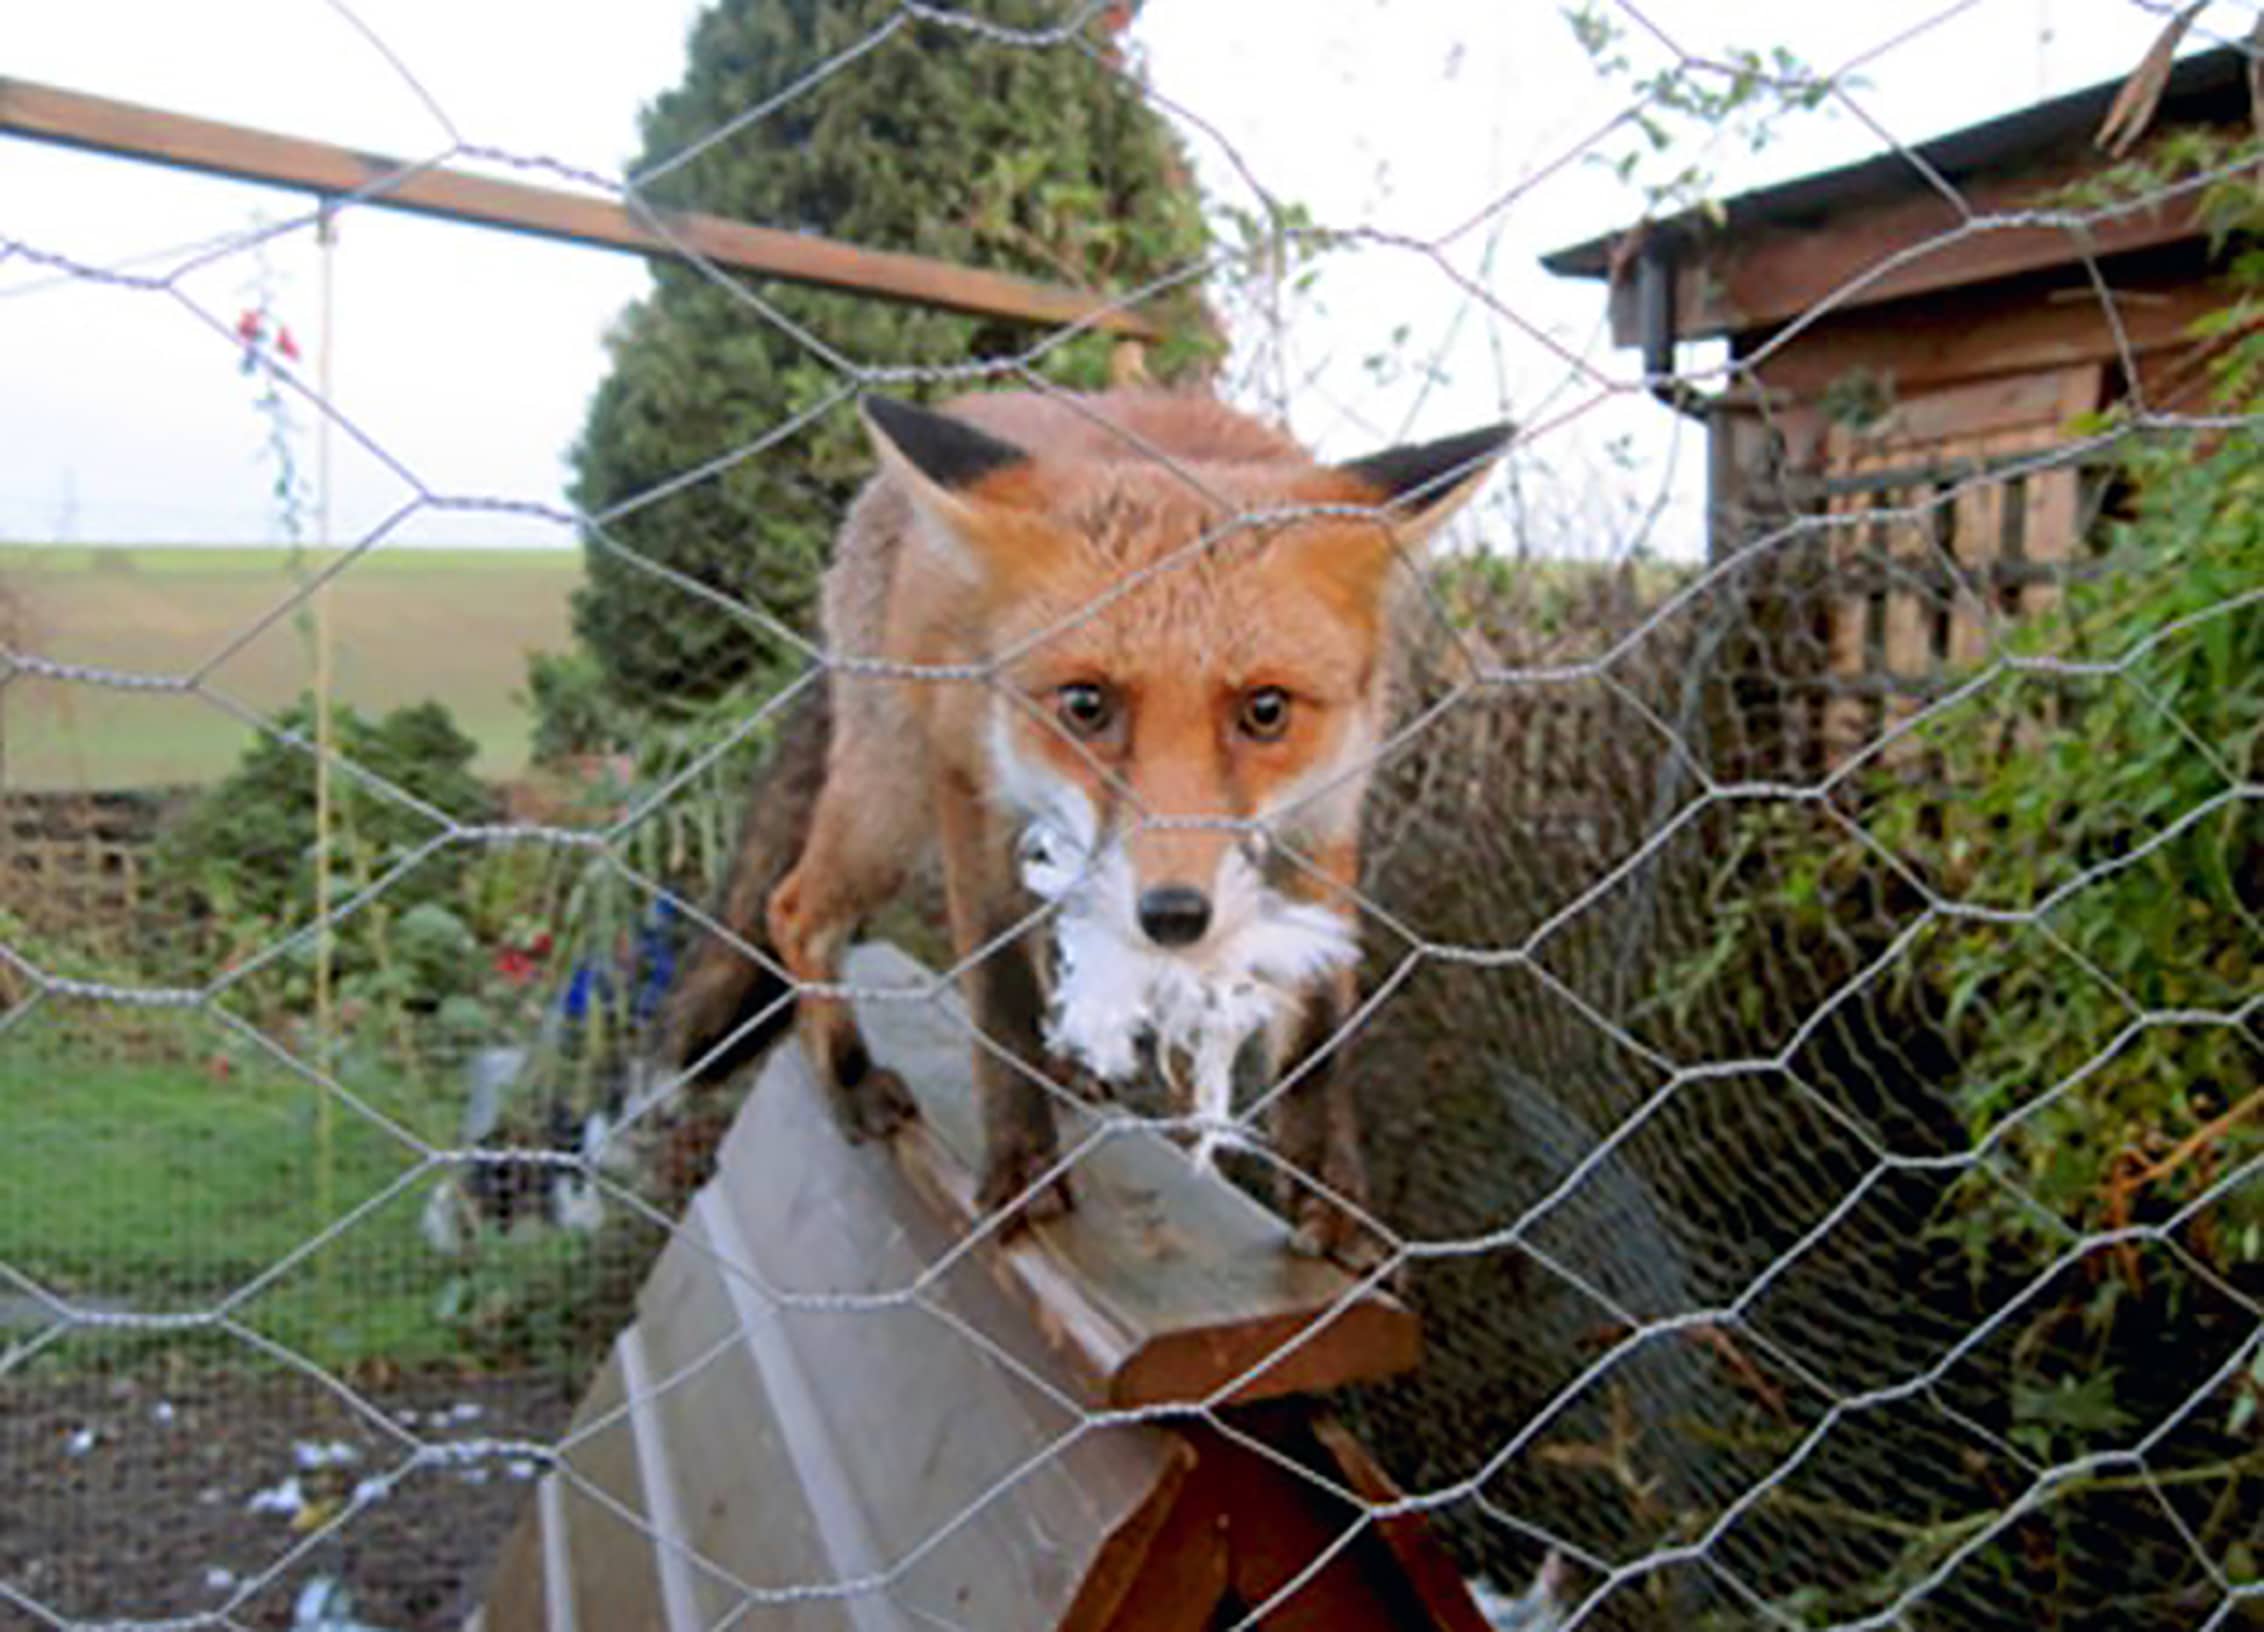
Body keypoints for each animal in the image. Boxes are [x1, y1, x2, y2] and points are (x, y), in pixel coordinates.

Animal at [661, 389, 1512, 1258]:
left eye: (1265, 710)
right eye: (1086, 704)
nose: (1174, 916)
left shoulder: (1326, 818)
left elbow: (1316, 1039)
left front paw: (1334, 1207)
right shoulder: (973, 793)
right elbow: (999, 997)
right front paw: (1022, 1167)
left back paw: (1060, 1066)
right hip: (893, 805)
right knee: (792, 908)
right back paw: (850, 1078)